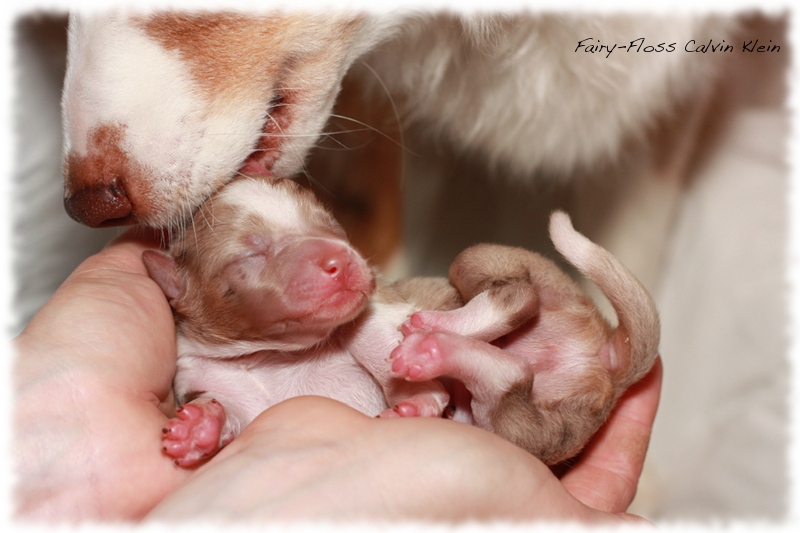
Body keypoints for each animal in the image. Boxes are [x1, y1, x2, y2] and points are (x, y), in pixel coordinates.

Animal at [142, 175, 656, 466]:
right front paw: (197, 429)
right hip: (532, 432)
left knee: (518, 296)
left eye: (331, 225)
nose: (343, 259)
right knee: (510, 377)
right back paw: (438, 350)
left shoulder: (373, 307)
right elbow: (228, 411)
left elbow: (370, 334)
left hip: (486, 262)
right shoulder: (222, 389)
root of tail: (608, 353)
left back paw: (430, 335)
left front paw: (419, 395)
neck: (271, 357)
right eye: (252, 254)